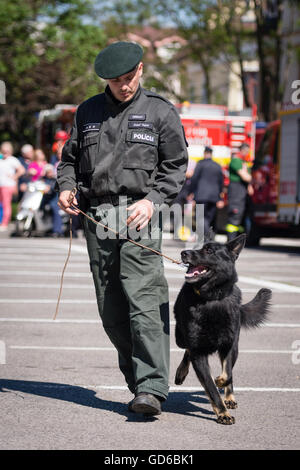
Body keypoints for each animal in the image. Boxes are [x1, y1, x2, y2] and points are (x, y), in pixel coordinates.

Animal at [173, 233, 272, 424]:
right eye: (198, 247)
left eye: (209, 250)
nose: (183, 253)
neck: (211, 299)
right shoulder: (199, 352)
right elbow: (210, 386)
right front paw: (222, 413)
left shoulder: (229, 346)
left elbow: (227, 374)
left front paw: (221, 382)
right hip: (180, 338)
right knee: (186, 350)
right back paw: (181, 372)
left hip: (235, 348)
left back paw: (230, 397)